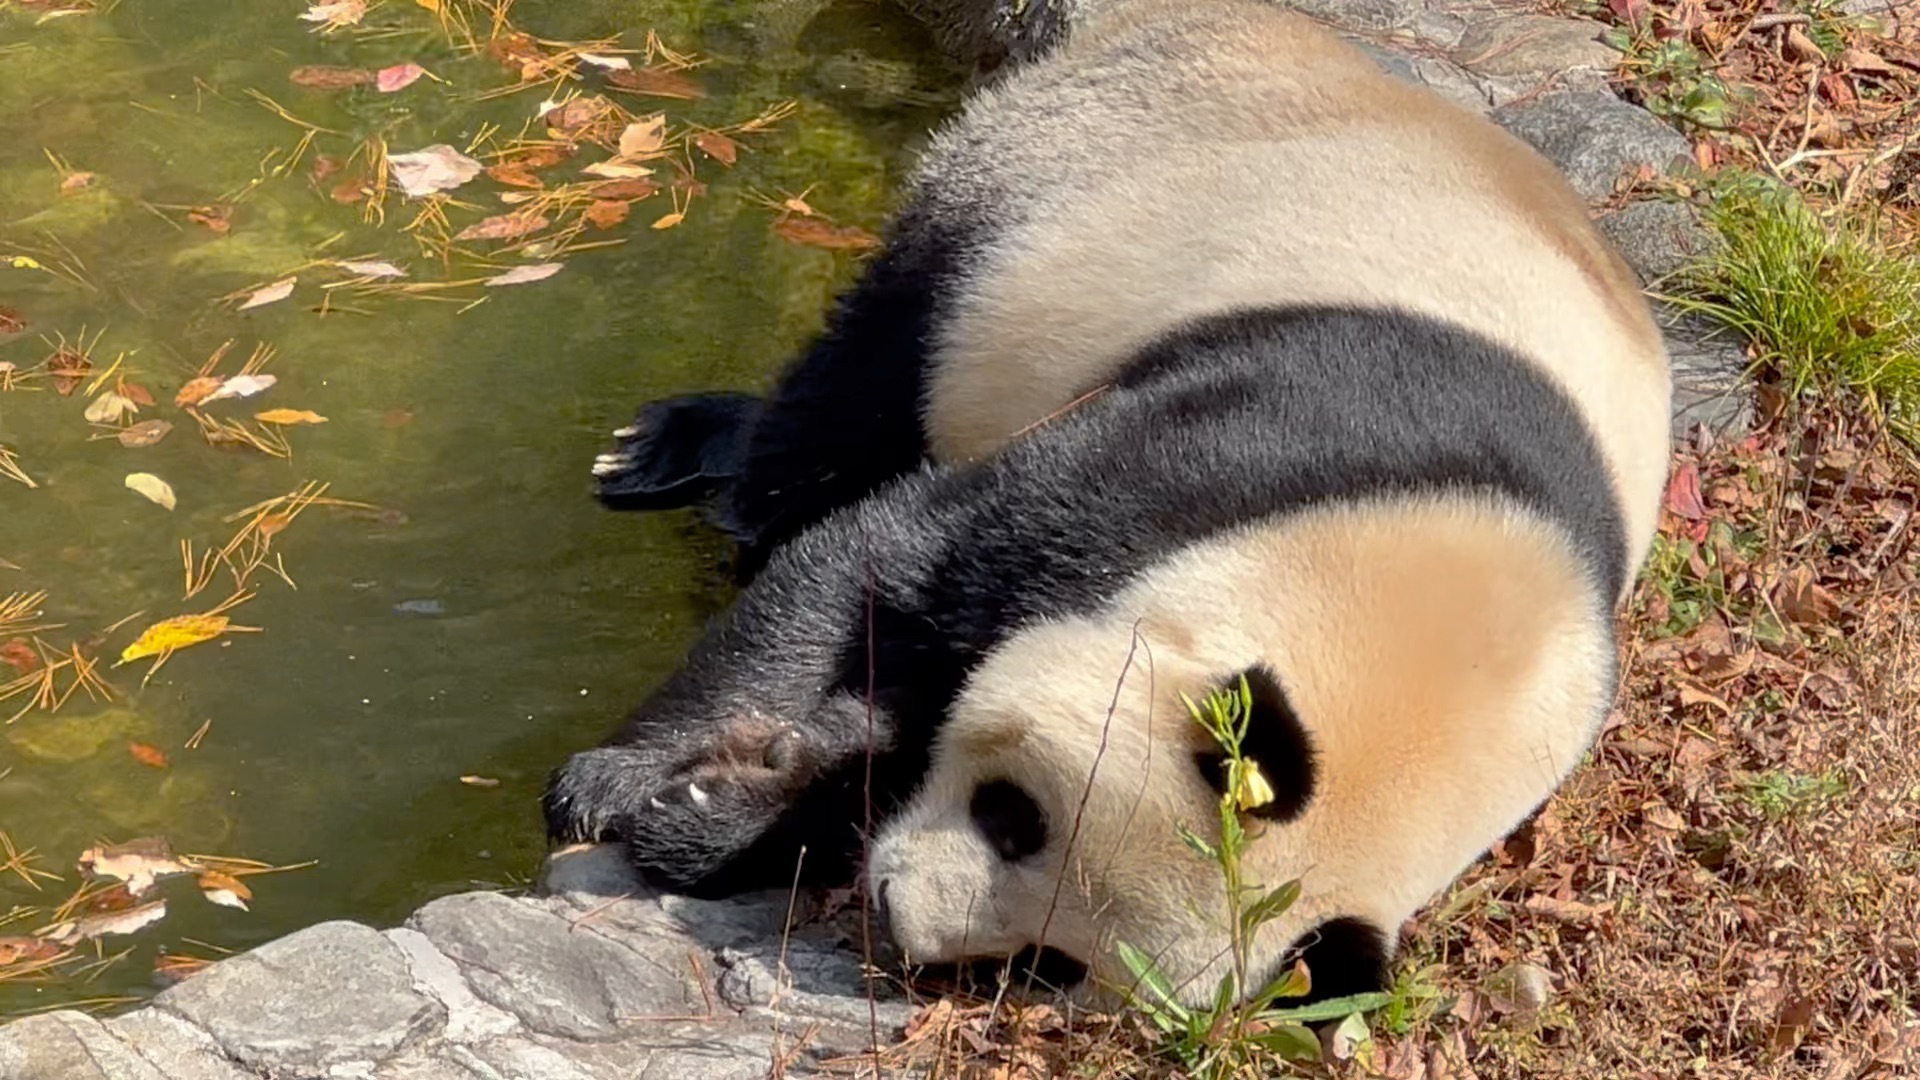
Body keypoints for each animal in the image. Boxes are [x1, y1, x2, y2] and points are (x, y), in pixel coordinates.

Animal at [549, 0, 1674, 1006]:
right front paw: (623, 788)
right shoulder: (1250, 449)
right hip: (1056, 181)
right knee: (864, 380)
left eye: (1048, 963)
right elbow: (895, 555)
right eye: (1016, 818)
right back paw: (682, 450)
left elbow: (900, 717)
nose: (893, 911)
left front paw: (731, 804)